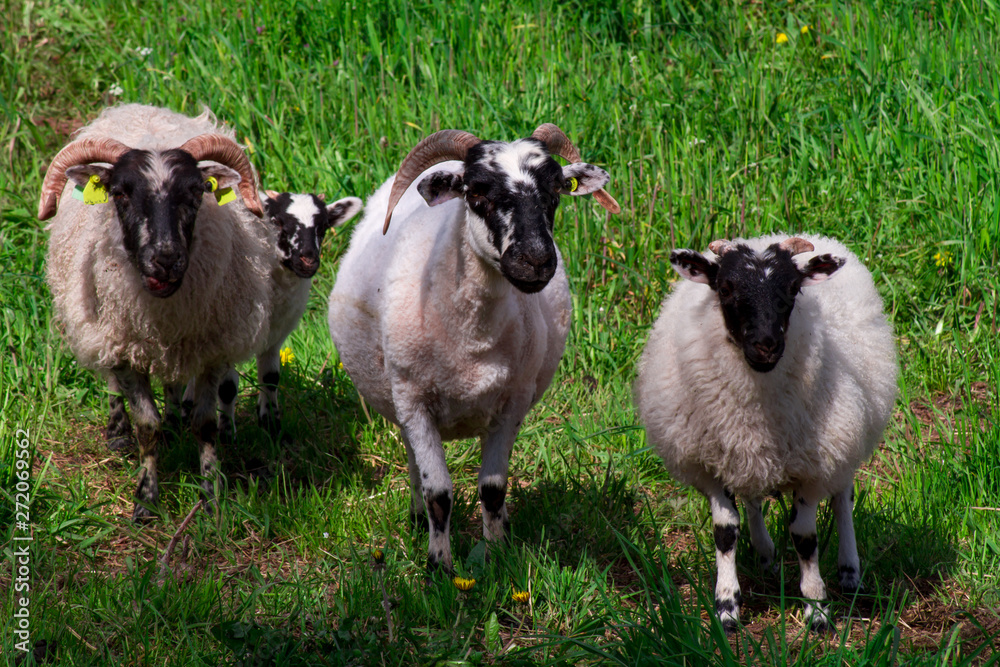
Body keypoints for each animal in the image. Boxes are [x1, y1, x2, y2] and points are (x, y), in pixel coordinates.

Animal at [39, 104, 274, 521]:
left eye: (197, 191)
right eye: (119, 193)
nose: (165, 259)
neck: (164, 309)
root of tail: (138, 107)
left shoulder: (211, 350)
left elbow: (205, 424)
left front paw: (210, 497)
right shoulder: (123, 349)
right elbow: (147, 426)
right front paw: (146, 501)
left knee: (173, 384)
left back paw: (175, 420)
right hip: (104, 333)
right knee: (114, 384)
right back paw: (118, 433)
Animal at [328, 125, 620, 571]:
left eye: (556, 190)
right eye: (477, 192)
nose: (536, 260)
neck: (472, 339)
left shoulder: (511, 405)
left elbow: (493, 488)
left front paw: (497, 555)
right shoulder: (414, 402)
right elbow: (439, 494)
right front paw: (439, 567)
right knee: (414, 462)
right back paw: (417, 520)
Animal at [634, 233, 897, 632]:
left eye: (792, 288)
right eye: (725, 288)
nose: (766, 344)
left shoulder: (813, 468)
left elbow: (805, 538)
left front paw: (816, 607)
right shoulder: (710, 465)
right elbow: (725, 532)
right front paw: (727, 607)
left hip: (842, 445)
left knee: (842, 500)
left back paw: (850, 573)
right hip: (746, 455)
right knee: (752, 499)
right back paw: (765, 555)